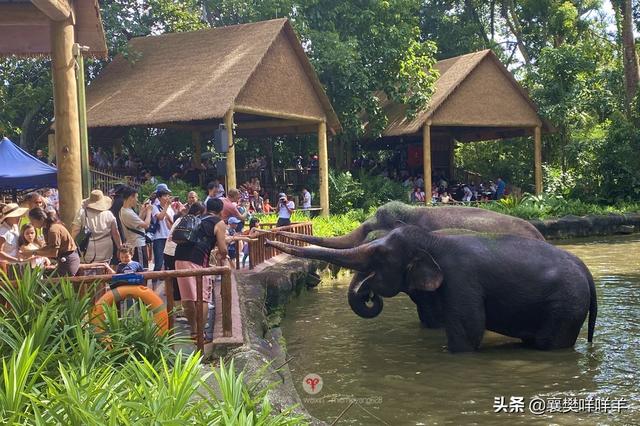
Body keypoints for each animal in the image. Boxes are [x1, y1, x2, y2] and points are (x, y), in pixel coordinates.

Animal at [264, 226, 596, 352]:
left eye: (380, 255)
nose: (265, 239)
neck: (434, 240)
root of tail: (587, 272)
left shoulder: (462, 281)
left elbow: (468, 332)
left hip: (565, 307)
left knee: (549, 343)